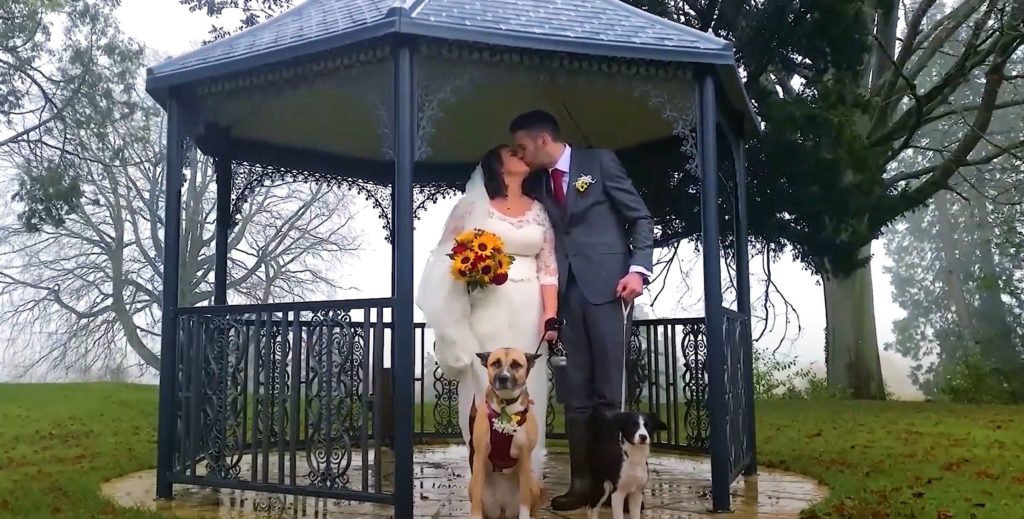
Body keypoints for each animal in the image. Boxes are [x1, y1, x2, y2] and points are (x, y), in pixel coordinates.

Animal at [467, 348, 547, 519]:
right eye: (495, 363)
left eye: (516, 365)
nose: (503, 378)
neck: (505, 406)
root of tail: (503, 509)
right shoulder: (479, 455)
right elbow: (476, 500)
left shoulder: (525, 457)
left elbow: (525, 501)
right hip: (474, 486)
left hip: (533, 481)